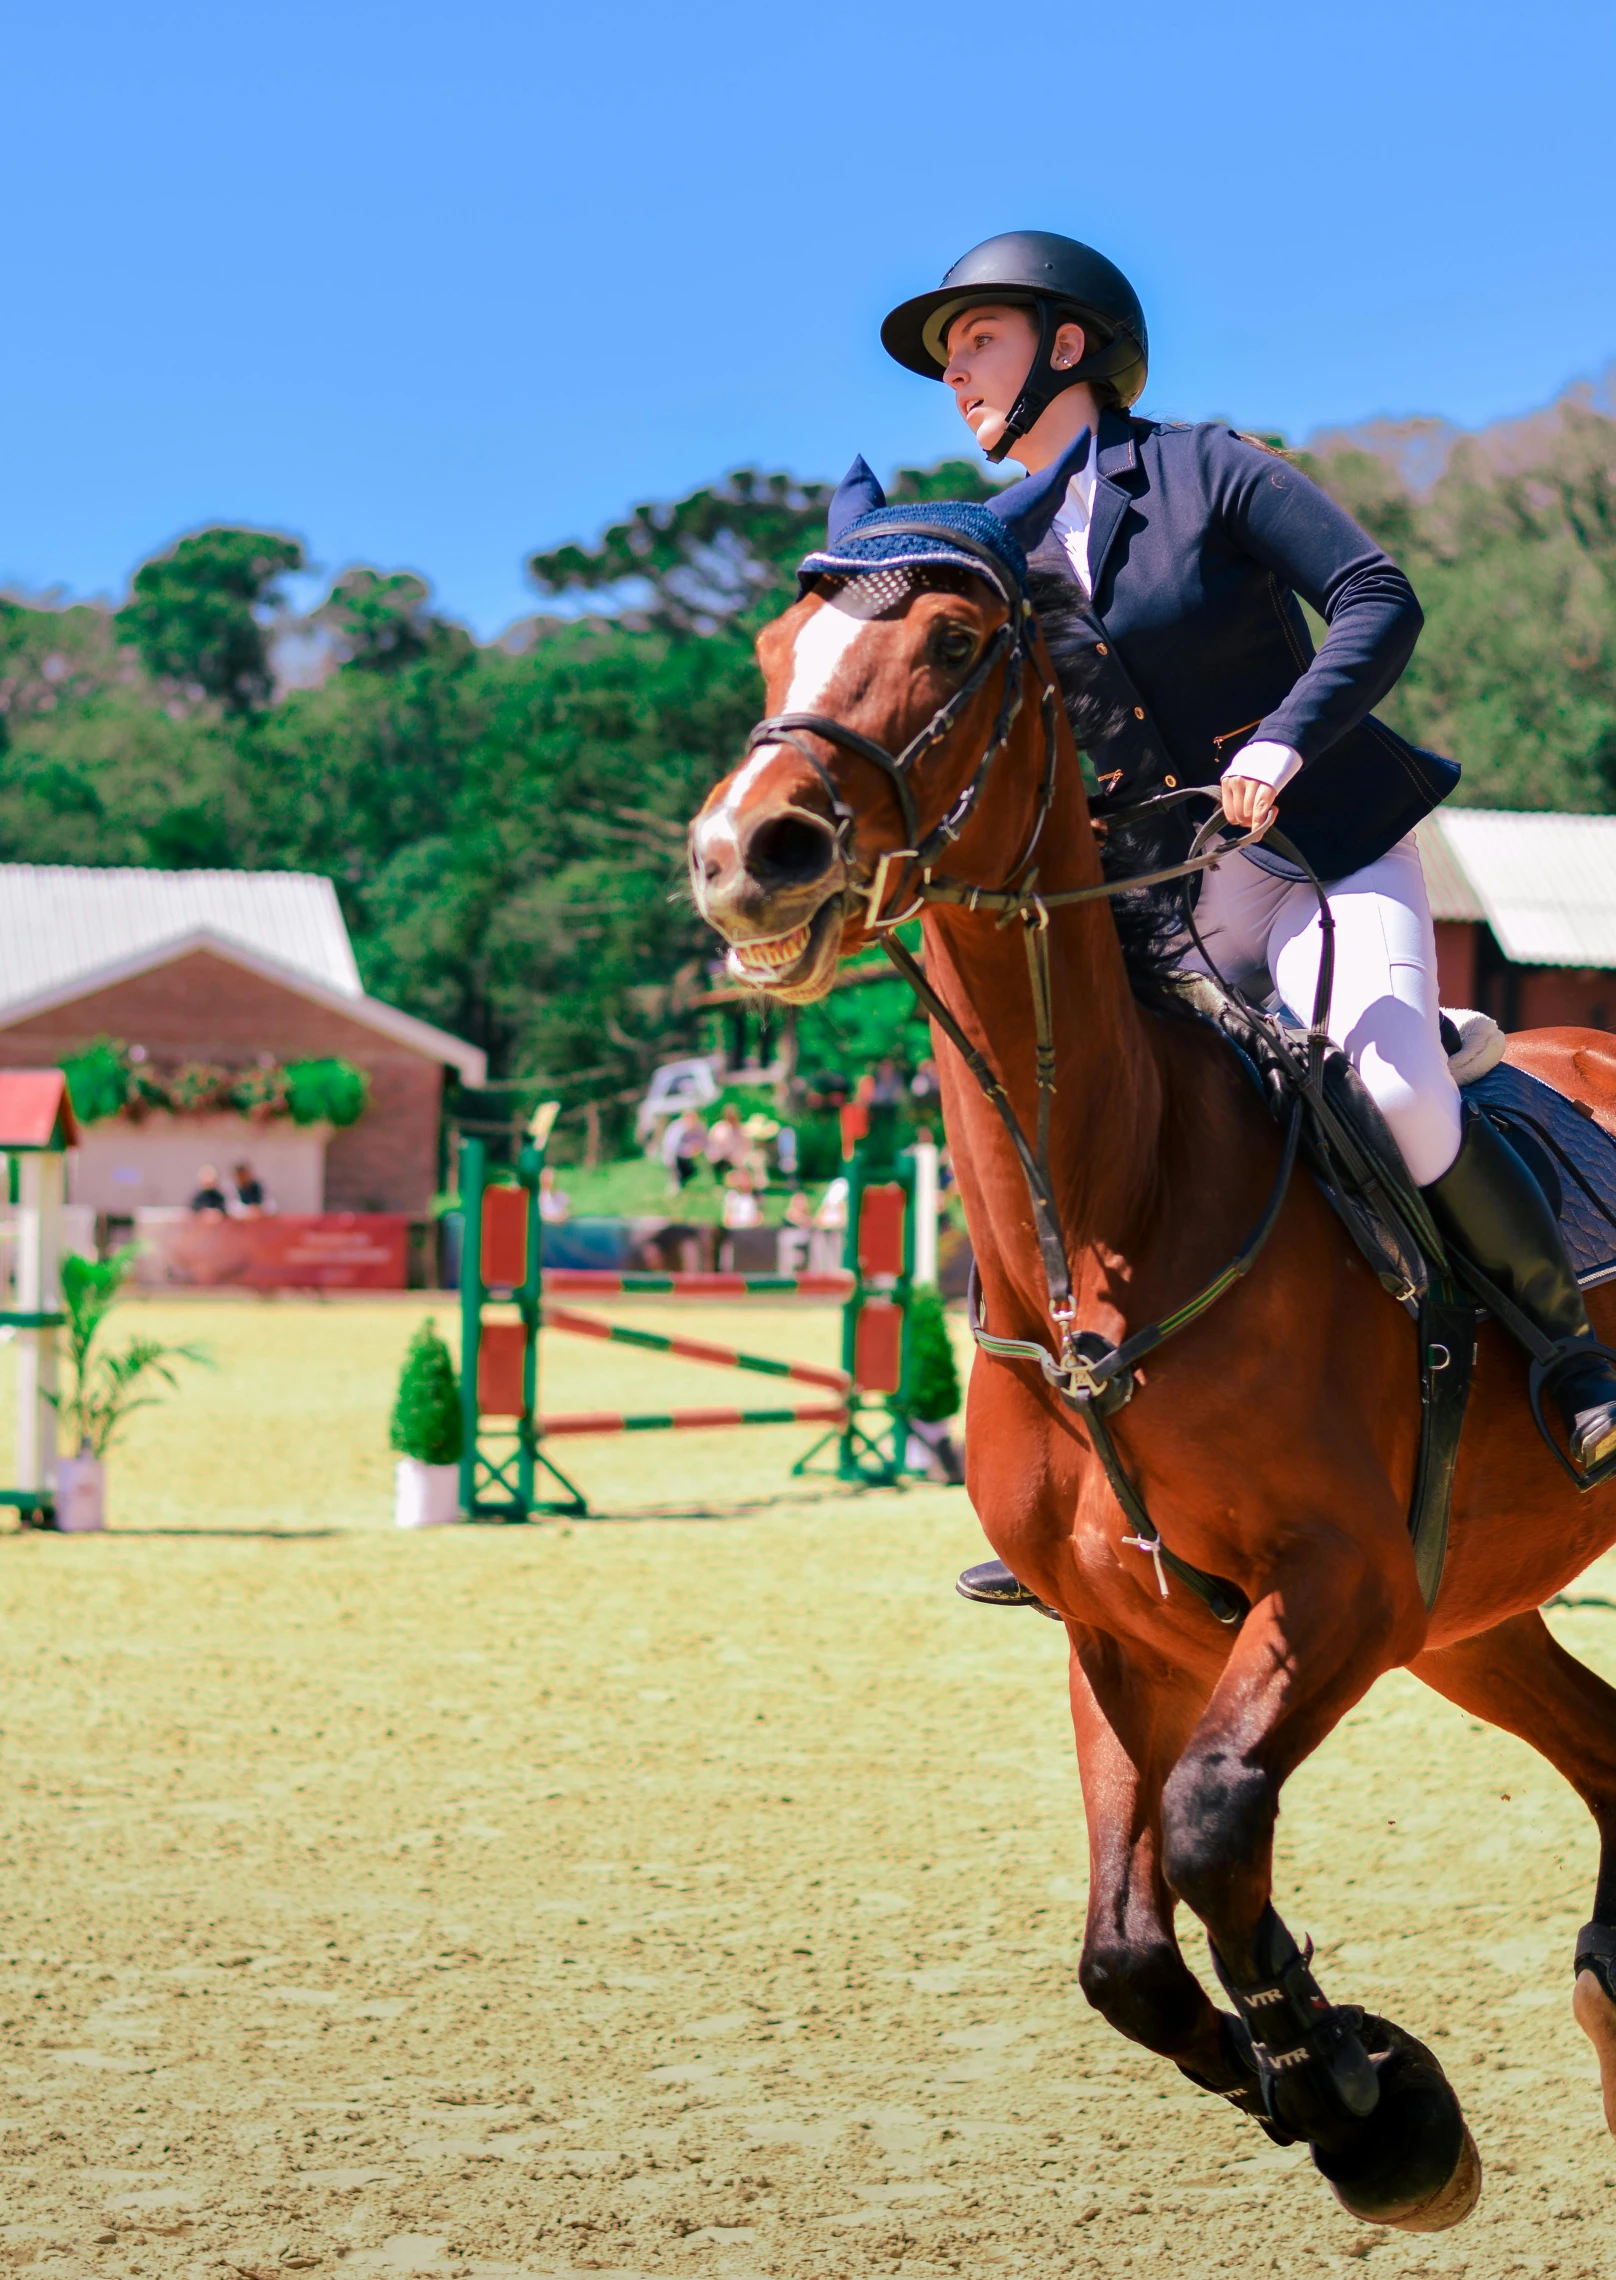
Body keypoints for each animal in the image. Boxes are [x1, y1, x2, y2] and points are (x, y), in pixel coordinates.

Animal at [688, 494, 1613, 2225]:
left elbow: (1208, 1821)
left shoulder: (1343, 1587)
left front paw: (1372, 2107)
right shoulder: (1127, 1630)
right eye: (779, 648)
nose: (743, 857)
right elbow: (1126, 1946)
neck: (1105, 1232)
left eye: (959, 643)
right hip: (1470, 1617)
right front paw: (1354, 2086)